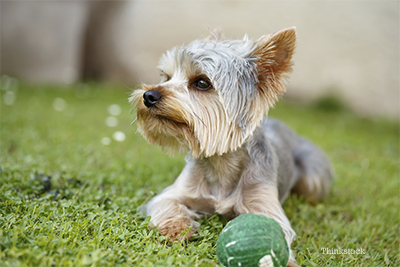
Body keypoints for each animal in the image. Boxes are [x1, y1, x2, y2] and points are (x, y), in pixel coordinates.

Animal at [130, 27, 332, 266]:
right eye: (166, 77)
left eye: (202, 82)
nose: (148, 95)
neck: (221, 161)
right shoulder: (174, 193)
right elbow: (165, 203)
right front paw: (176, 228)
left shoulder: (263, 204)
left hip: (313, 175)